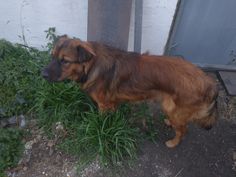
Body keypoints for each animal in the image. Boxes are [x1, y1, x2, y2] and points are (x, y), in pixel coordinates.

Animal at [42, 36, 218, 148]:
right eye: (52, 56)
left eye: (65, 61)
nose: (42, 74)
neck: (92, 65)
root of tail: (209, 82)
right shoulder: (112, 103)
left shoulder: (103, 105)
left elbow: (102, 121)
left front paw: (102, 128)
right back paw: (169, 123)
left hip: (173, 109)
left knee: (183, 129)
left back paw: (173, 142)